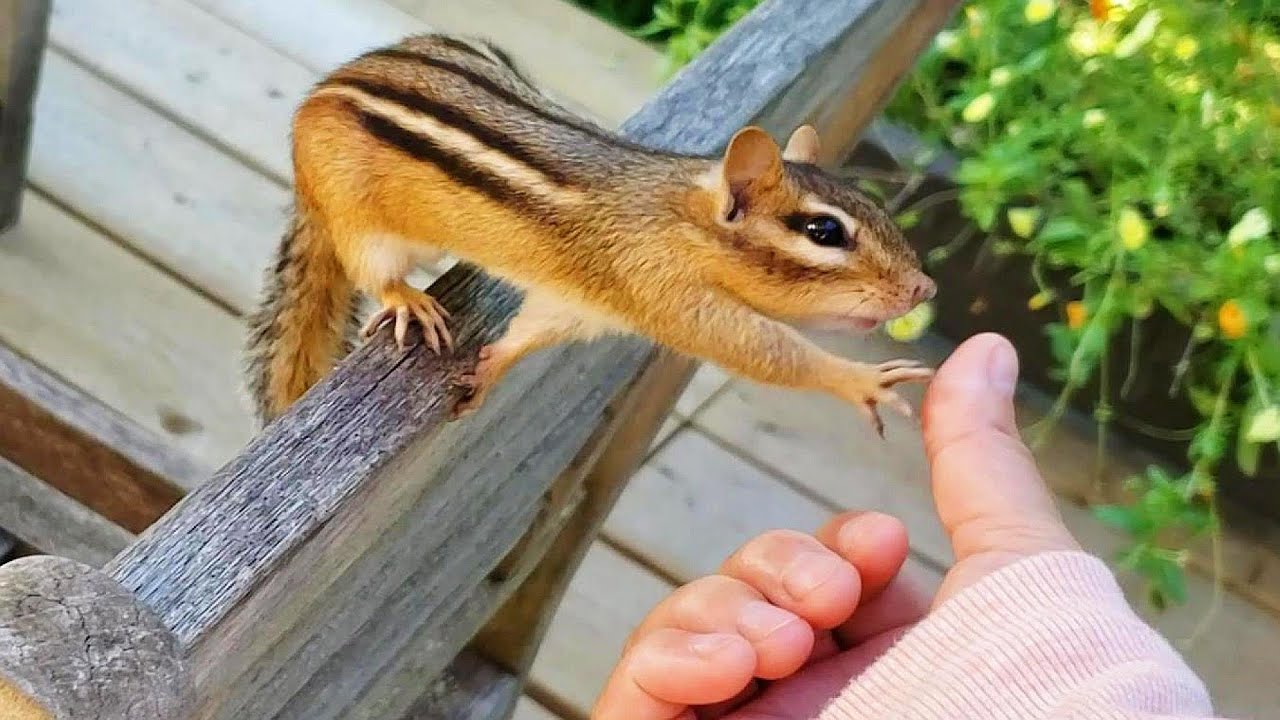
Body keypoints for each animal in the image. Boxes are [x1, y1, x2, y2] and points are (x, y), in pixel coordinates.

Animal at [245, 33, 937, 435]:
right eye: (824, 231)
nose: (924, 290)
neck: (678, 216)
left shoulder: (583, 304)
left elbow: (531, 332)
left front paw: (491, 370)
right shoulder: (662, 290)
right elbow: (760, 349)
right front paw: (859, 380)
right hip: (363, 224)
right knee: (373, 269)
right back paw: (407, 299)